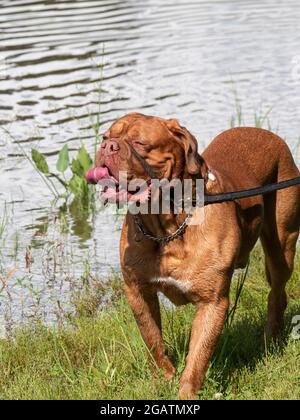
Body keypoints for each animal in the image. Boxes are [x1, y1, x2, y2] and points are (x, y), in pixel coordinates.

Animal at [95, 113, 298, 398]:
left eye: (139, 142)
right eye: (105, 136)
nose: (107, 147)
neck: (167, 228)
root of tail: (266, 133)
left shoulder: (212, 302)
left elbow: (198, 355)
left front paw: (186, 393)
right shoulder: (137, 291)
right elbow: (152, 337)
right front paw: (164, 378)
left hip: (282, 244)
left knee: (277, 292)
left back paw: (270, 340)